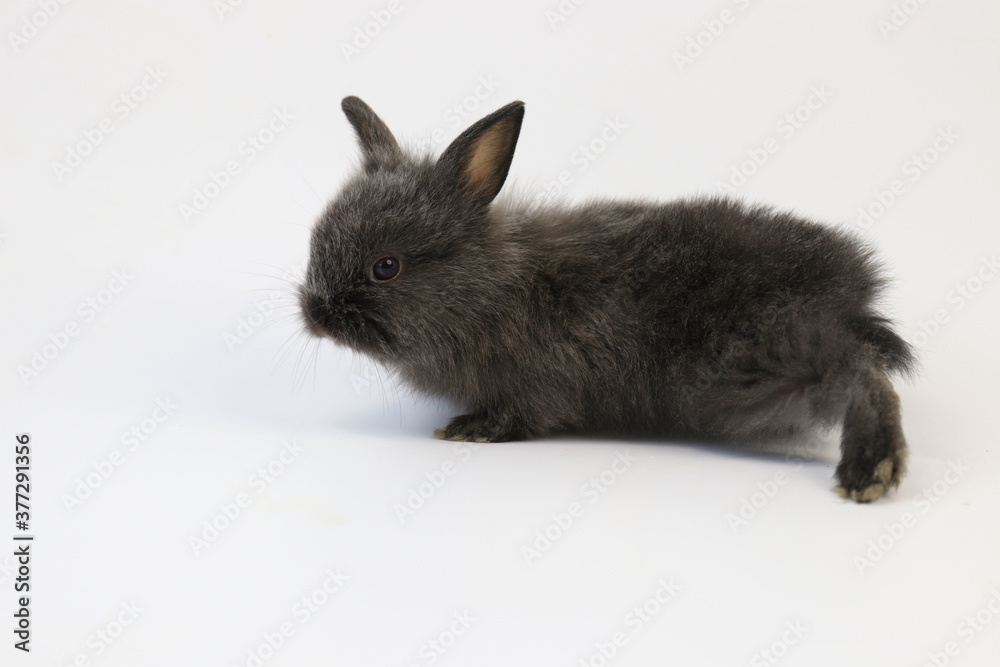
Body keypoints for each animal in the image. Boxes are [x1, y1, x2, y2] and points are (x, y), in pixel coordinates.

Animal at [298, 96, 915, 503]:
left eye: (385, 267)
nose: (315, 314)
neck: (493, 288)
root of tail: (852, 285)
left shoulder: (537, 384)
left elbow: (522, 414)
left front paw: (471, 429)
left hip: (754, 363)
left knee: (860, 373)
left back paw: (871, 470)